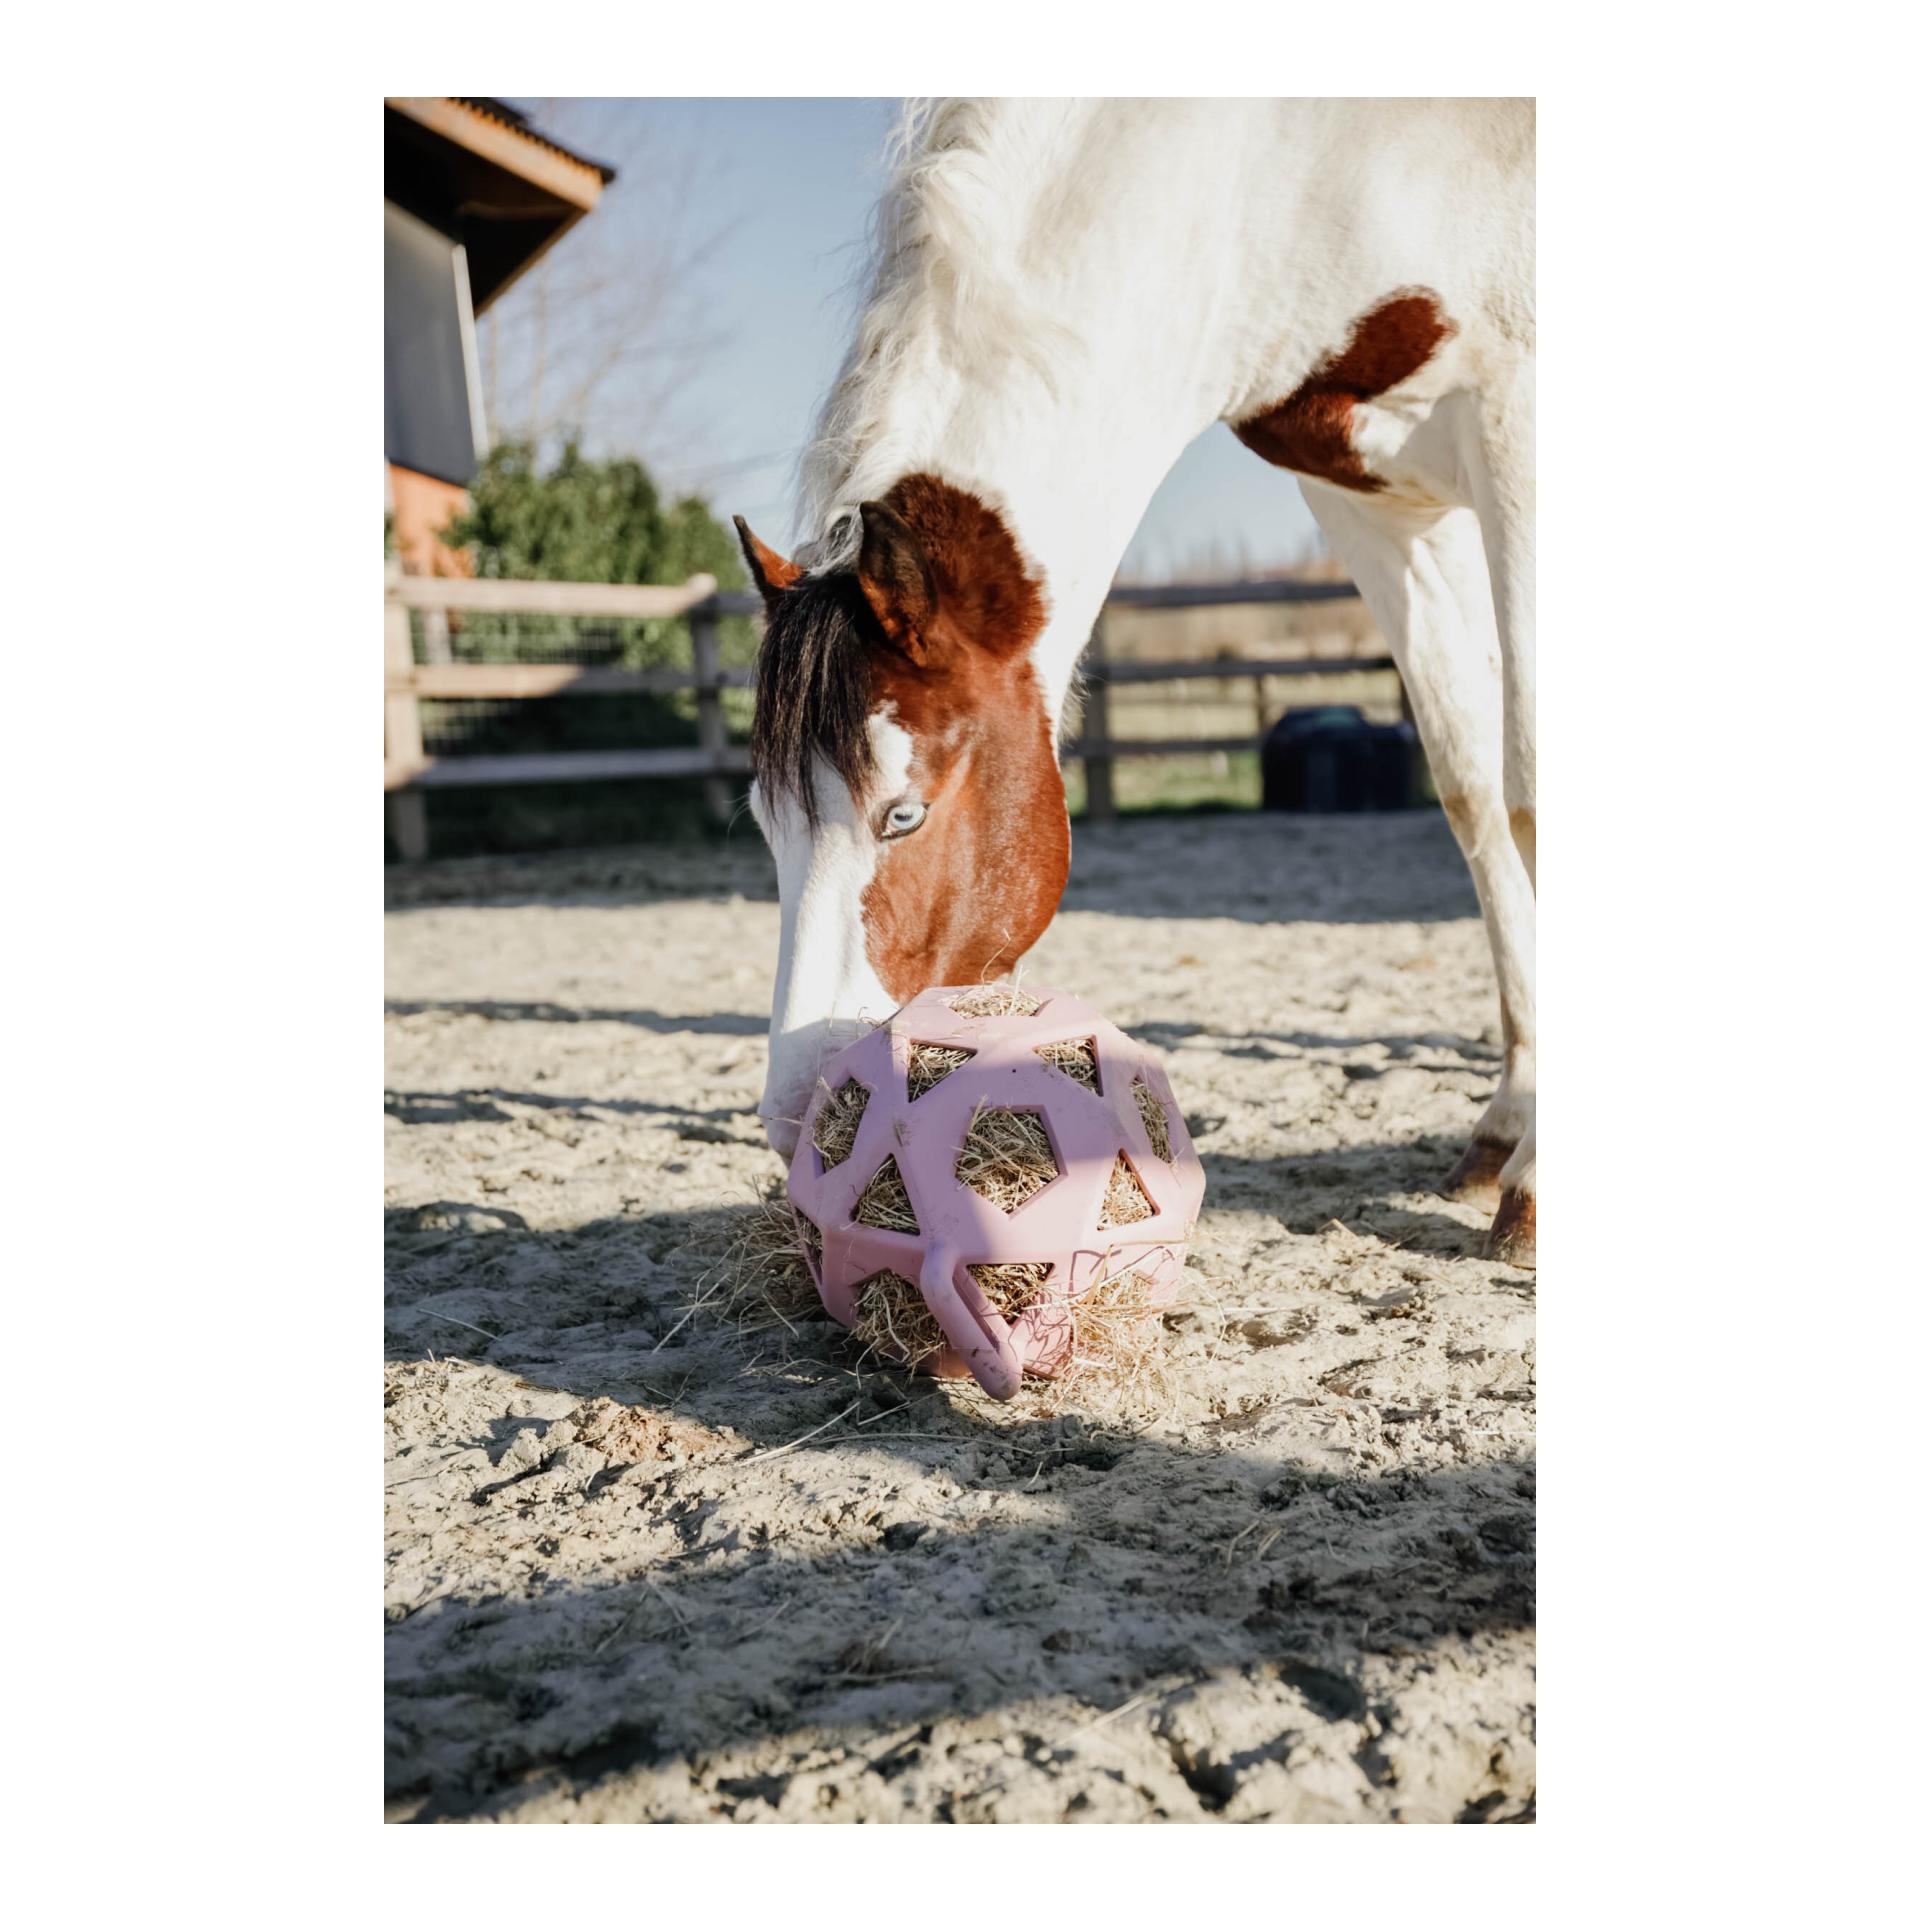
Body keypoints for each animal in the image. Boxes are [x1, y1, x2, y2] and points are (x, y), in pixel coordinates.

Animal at [733, 99, 1536, 1266]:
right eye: (763, 816)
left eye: (903, 813)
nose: (803, 1115)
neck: (1283, 169)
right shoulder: (1377, 506)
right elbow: (1476, 798)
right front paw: (1511, 1124)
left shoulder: (1515, 421)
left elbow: (1529, 796)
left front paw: (1538, 1180)